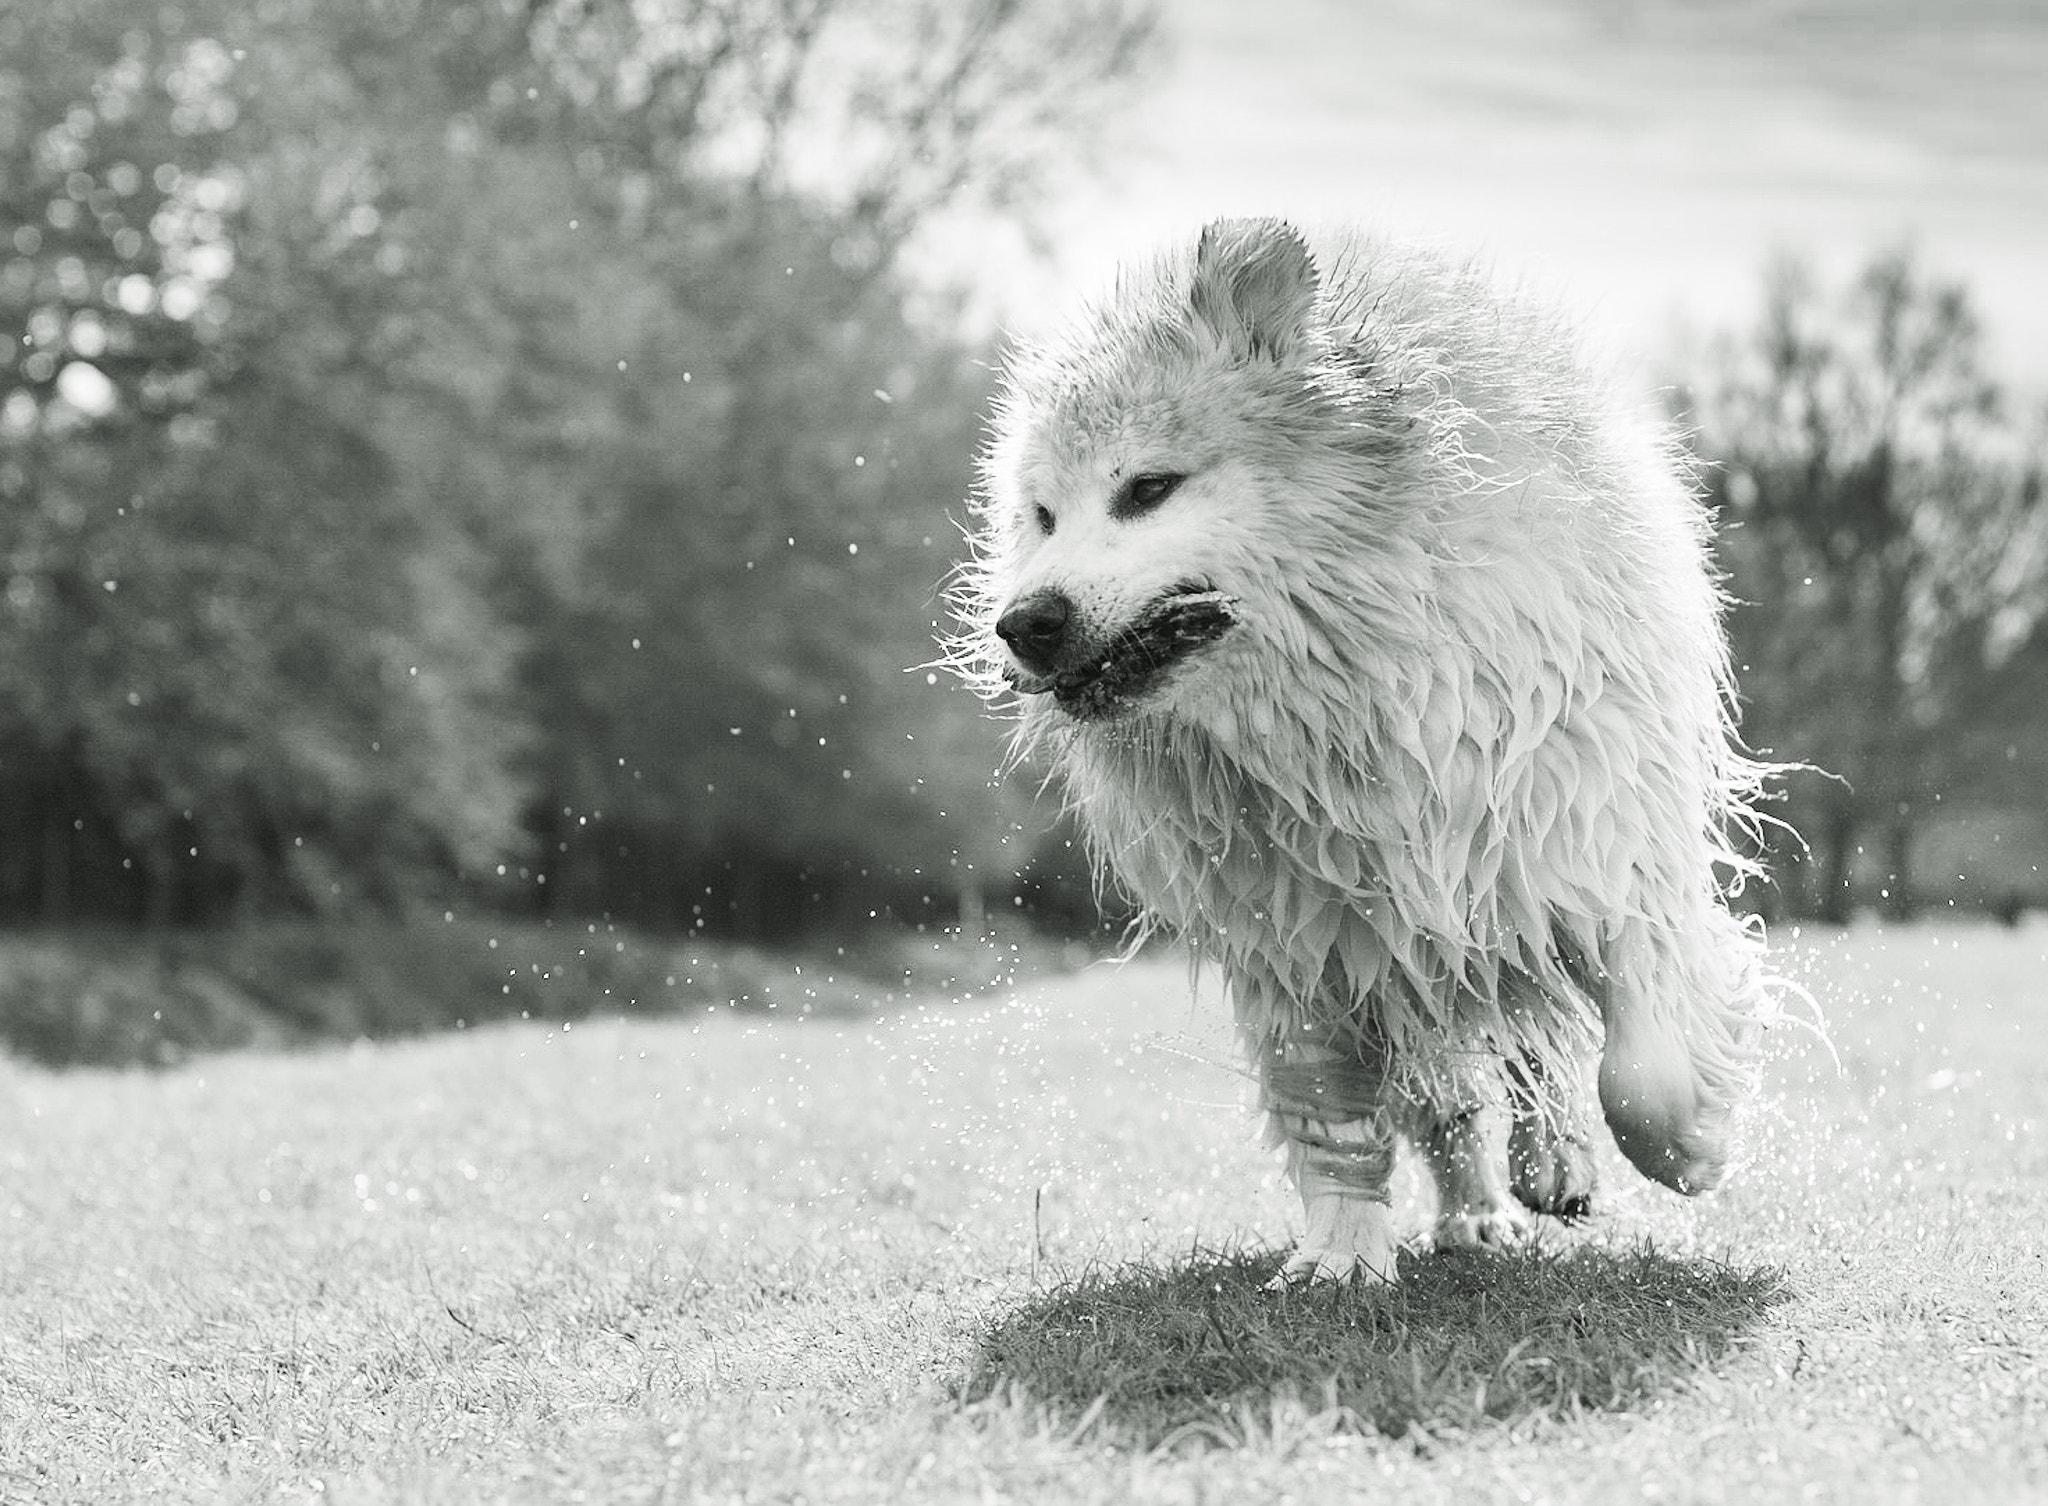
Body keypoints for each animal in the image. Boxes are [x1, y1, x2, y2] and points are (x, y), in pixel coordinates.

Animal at [958, 221, 1777, 1286]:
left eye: (1147, 488)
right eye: (1043, 517)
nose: (1023, 624)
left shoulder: (1590, 850)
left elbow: (1643, 1075)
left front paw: (1696, 1145)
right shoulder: (1310, 940)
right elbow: (1332, 1114)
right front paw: (1342, 1254)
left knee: (1541, 1054)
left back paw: (1551, 1162)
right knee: (1455, 1103)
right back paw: (1482, 1207)